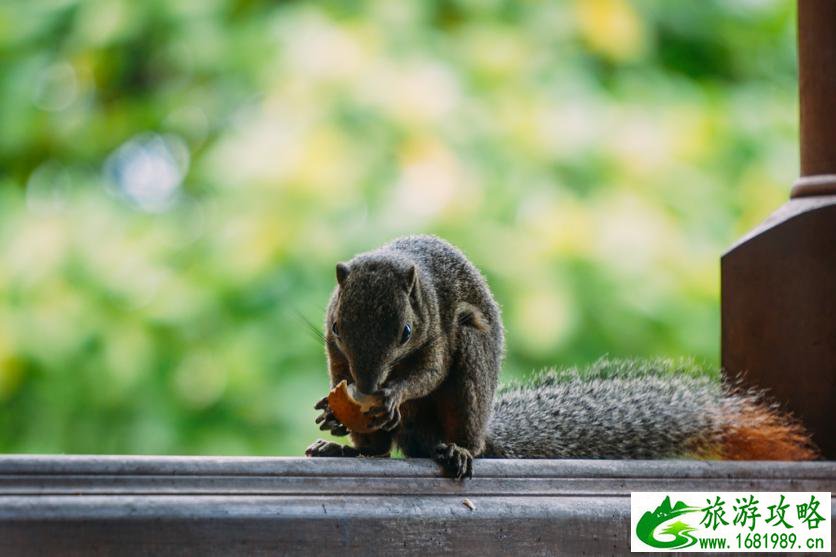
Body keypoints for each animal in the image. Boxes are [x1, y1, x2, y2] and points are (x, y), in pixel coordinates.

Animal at [306, 235, 816, 478]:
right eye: (337, 326)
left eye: (407, 331)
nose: (367, 388)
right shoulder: (335, 351)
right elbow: (336, 370)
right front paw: (333, 411)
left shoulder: (438, 331)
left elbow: (428, 372)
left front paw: (393, 394)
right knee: (375, 451)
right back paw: (344, 446)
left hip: (470, 370)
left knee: (463, 435)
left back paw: (458, 451)